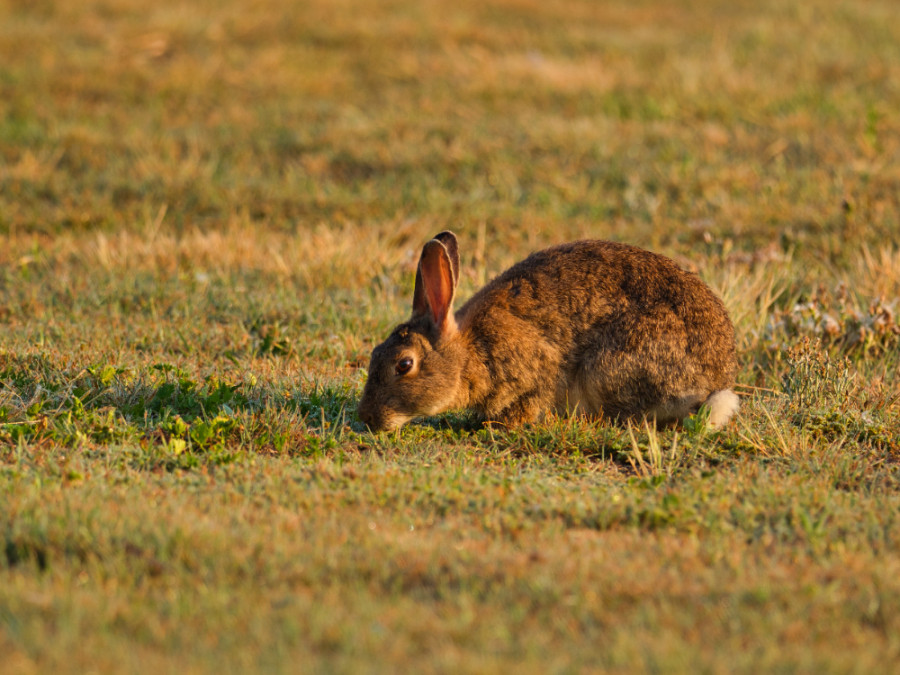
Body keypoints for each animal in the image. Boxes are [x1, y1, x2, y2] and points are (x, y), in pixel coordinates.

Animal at [356, 231, 740, 434]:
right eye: (374, 355)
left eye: (404, 365)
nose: (368, 418)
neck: (469, 353)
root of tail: (713, 383)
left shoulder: (537, 370)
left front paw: (497, 426)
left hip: (609, 367)